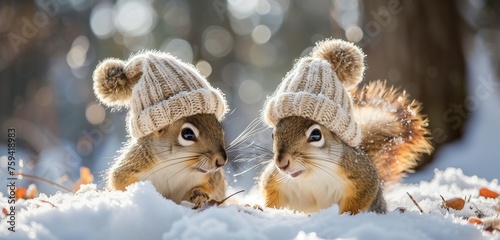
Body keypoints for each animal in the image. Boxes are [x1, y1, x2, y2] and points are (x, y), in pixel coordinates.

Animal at [260, 39, 432, 214]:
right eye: (273, 135)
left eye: (316, 135)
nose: (281, 163)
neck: (313, 174)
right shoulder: (275, 179)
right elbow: (271, 195)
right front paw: (261, 208)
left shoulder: (360, 174)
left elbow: (360, 199)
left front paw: (347, 215)